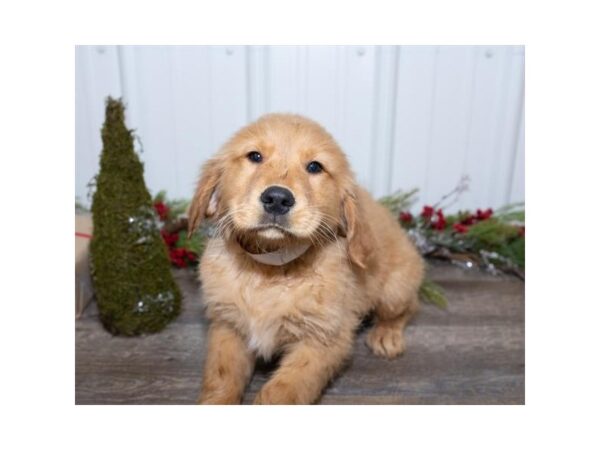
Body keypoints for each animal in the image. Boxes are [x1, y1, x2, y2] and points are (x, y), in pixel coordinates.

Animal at [190, 113, 424, 404]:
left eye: (315, 167)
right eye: (255, 156)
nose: (277, 198)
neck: (271, 271)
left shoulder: (324, 338)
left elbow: (280, 392)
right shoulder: (228, 325)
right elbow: (220, 378)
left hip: (394, 290)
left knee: (409, 306)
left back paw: (387, 334)